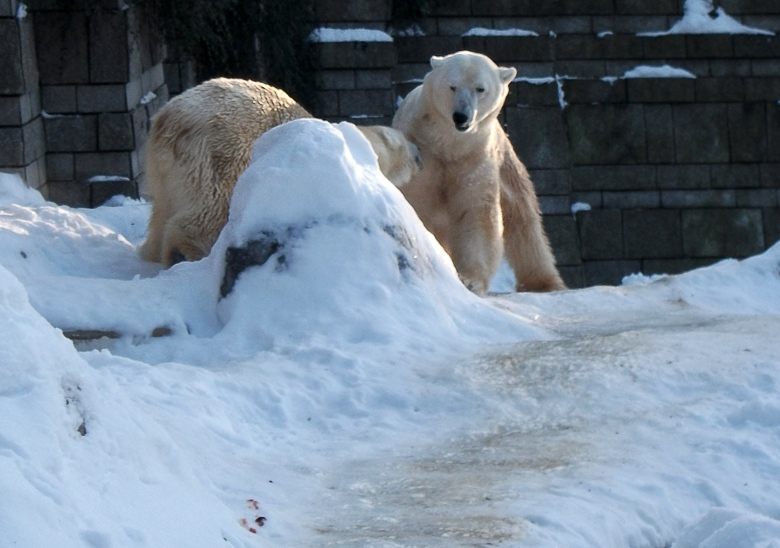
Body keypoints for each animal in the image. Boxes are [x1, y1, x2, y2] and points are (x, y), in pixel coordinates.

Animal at [139, 77, 420, 268]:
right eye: (406, 144)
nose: (420, 156)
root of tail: (169, 121)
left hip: (162, 171)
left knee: (162, 212)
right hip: (220, 154)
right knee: (211, 209)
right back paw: (185, 253)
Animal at [394, 50, 564, 296]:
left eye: (480, 88)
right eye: (452, 86)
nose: (461, 116)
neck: (448, 142)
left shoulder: (476, 156)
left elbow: (476, 211)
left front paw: (470, 281)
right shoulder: (423, 153)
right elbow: (418, 203)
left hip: (506, 164)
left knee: (523, 221)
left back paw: (545, 283)